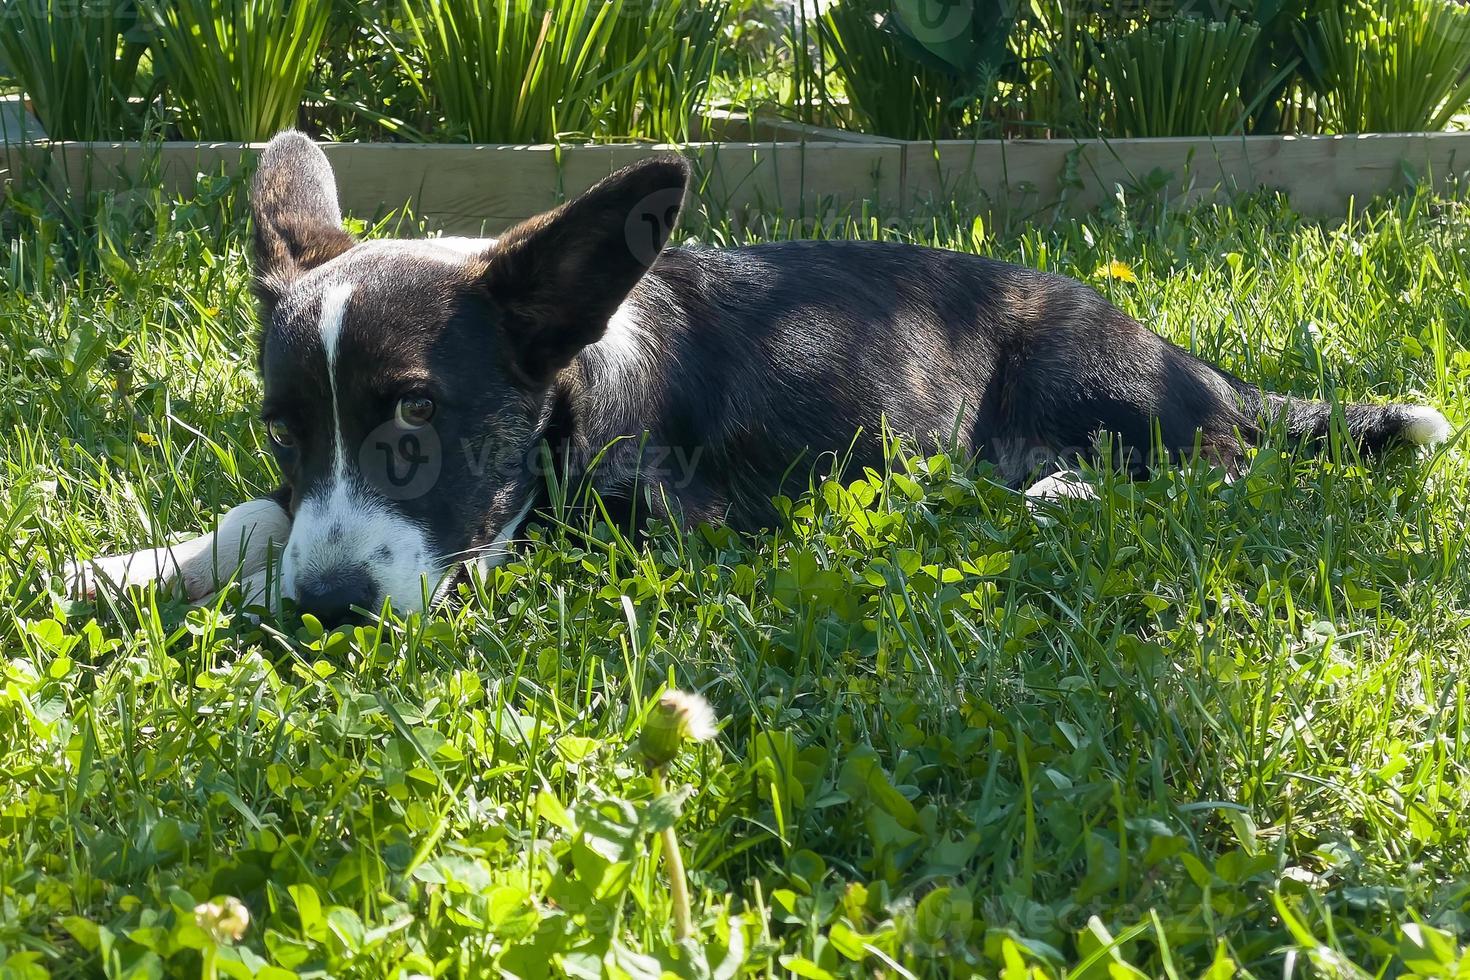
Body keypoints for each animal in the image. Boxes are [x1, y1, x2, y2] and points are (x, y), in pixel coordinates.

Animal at [66, 130, 1446, 625]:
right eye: (283, 430)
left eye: (420, 416)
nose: (326, 612)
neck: (583, 389)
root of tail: (1193, 359)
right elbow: (257, 517)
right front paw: (132, 566)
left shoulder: (649, 528)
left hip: (1092, 380)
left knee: (1210, 470)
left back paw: (1056, 494)